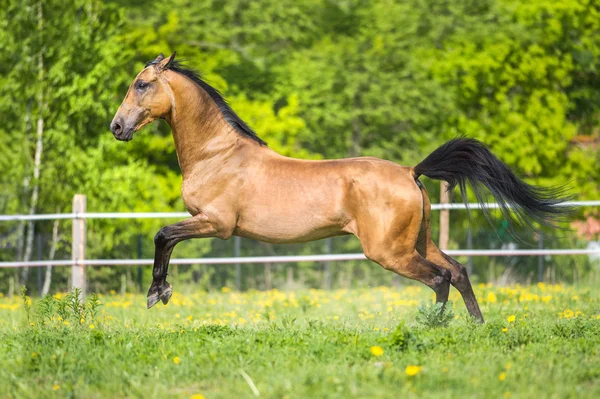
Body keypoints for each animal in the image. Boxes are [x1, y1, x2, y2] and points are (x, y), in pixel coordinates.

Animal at [110, 53, 568, 324]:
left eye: (142, 84)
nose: (116, 127)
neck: (217, 153)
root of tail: (411, 172)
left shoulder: (216, 224)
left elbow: (162, 235)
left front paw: (157, 293)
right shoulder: (206, 223)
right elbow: (167, 240)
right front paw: (161, 292)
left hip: (389, 252)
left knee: (439, 278)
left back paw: (433, 327)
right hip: (419, 240)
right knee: (457, 271)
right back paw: (476, 326)